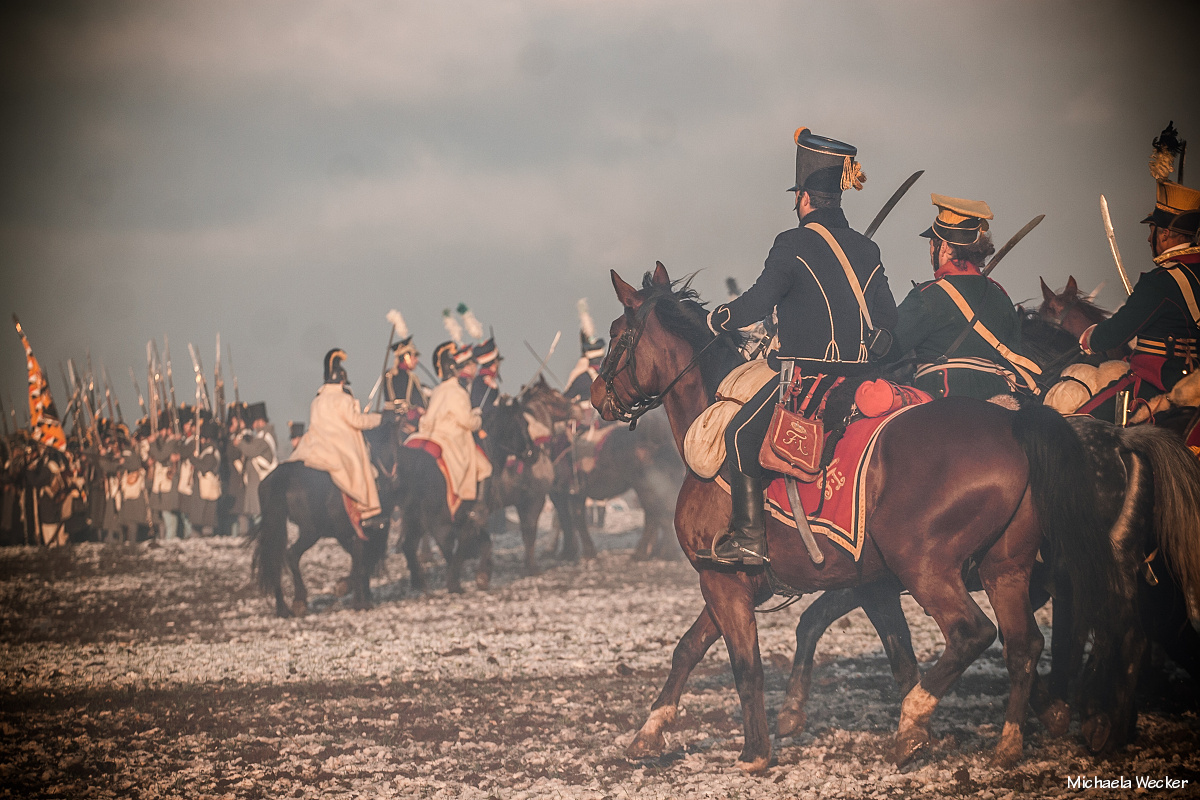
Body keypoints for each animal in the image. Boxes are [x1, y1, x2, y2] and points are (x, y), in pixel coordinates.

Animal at [592, 266, 1113, 772]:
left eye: (617, 335)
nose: (597, 396)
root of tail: (1015, 425)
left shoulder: (726, 581)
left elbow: (746, 666)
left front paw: (755, 753)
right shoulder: (807, 584)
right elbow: (690, 648)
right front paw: (649, 731)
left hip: (927, 569)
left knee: (975, 633)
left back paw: (923, 725)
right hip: (1003, 569)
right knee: (1023, 645)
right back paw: (1005, 742)